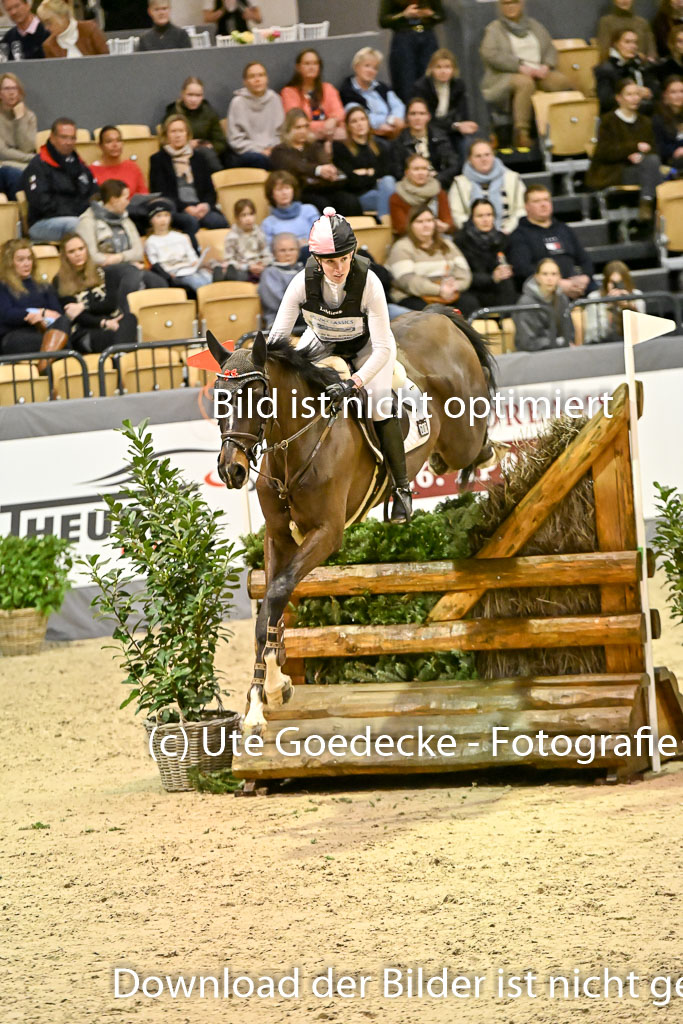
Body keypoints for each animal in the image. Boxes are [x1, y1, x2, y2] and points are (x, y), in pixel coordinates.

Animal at [205, 307, 496, 734]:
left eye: (258, 397)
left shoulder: (327, 534)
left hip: (463, 435)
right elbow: (270, 608)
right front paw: (264, 696)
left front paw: (269, 688)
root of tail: (436, 315)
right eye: (218, 398)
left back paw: (489, 457)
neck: (294, 446)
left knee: (477, 445)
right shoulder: (278, 537)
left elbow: (277, 593)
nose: (231, 470)